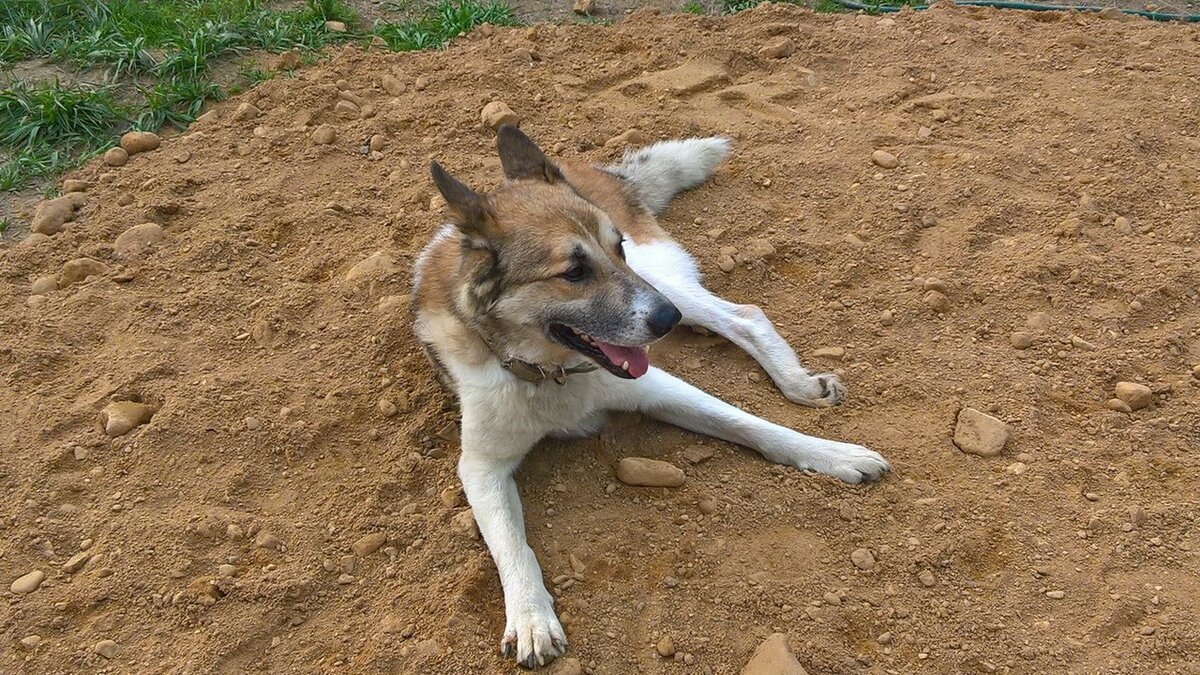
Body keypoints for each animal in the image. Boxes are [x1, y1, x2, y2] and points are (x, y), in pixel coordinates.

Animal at [412, 124, 892, 662]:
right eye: (573, 272)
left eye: (616, 247)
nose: (667, 321)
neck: (553, 373)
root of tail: (587, 168)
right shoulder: (481, 466)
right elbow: (512, 545)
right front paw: (531, 617)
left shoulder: (655, 382)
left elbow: (752, 423)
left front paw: (833, 454)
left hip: (664, 281)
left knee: (744, 316)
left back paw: (797, 383)